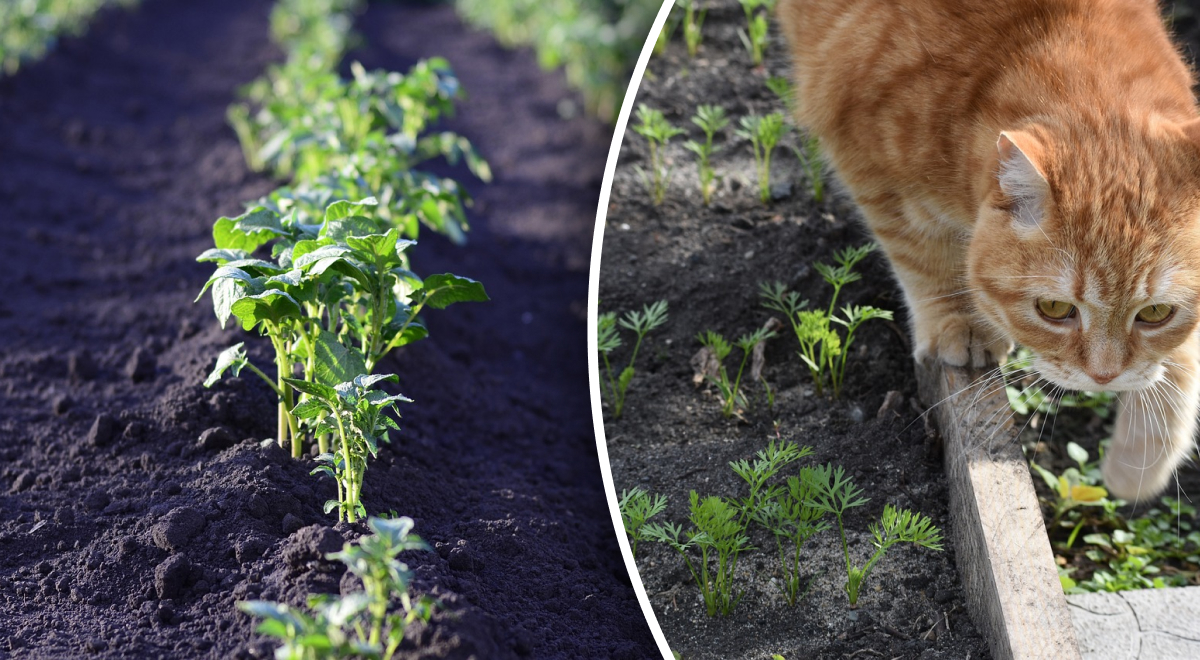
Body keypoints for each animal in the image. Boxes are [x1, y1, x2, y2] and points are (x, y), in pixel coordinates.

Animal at [782, 0, 1200, 501]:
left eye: (1155, 313)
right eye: (1054, 309)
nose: (1105, 377)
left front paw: (1139, 462)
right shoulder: (871, 170)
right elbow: (923, 257)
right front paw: (959, 320)